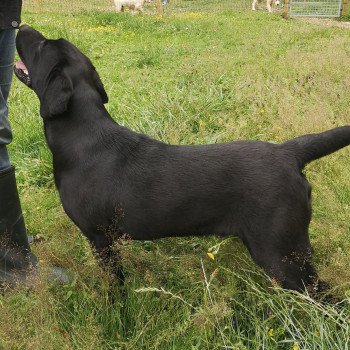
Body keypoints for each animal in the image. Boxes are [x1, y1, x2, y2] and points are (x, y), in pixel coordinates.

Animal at [15, 24, 348, 292]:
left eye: (42, 45)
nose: (21, 25)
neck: (83, 137)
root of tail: (288, 152)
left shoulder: (101, 239)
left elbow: (115, 285)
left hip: (281, 253)